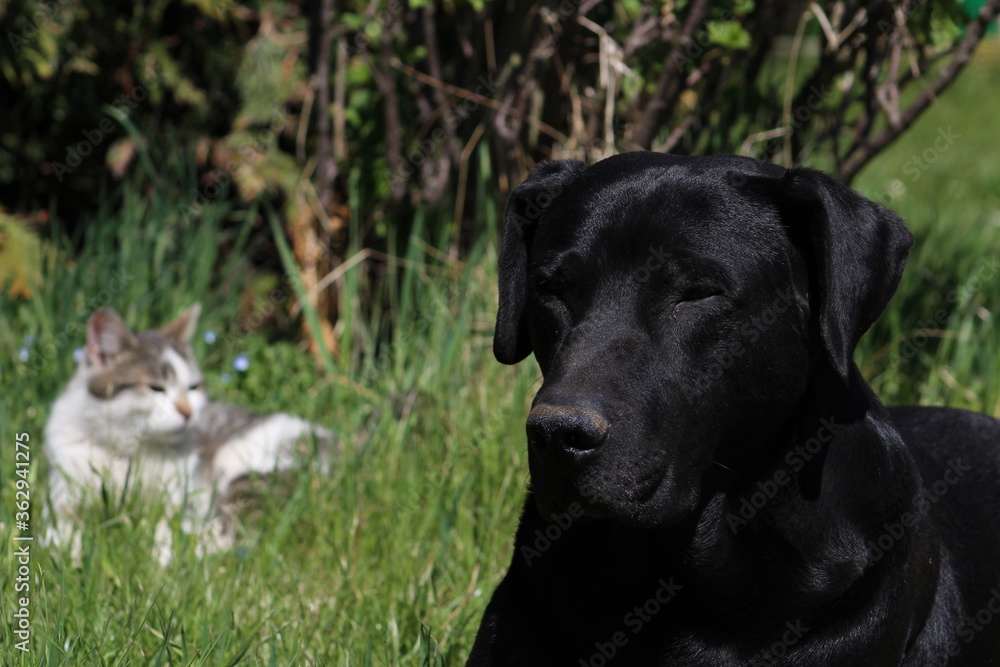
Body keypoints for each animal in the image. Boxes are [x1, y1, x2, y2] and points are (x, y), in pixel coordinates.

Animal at [45, 306, 334, 560]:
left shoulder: (177, 503)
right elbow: (59, 535)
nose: (187, 412)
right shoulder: (62, 500)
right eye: (155, 388)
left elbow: (164, 532)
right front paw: (70, 553)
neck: (128, 454)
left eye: (193, 387)